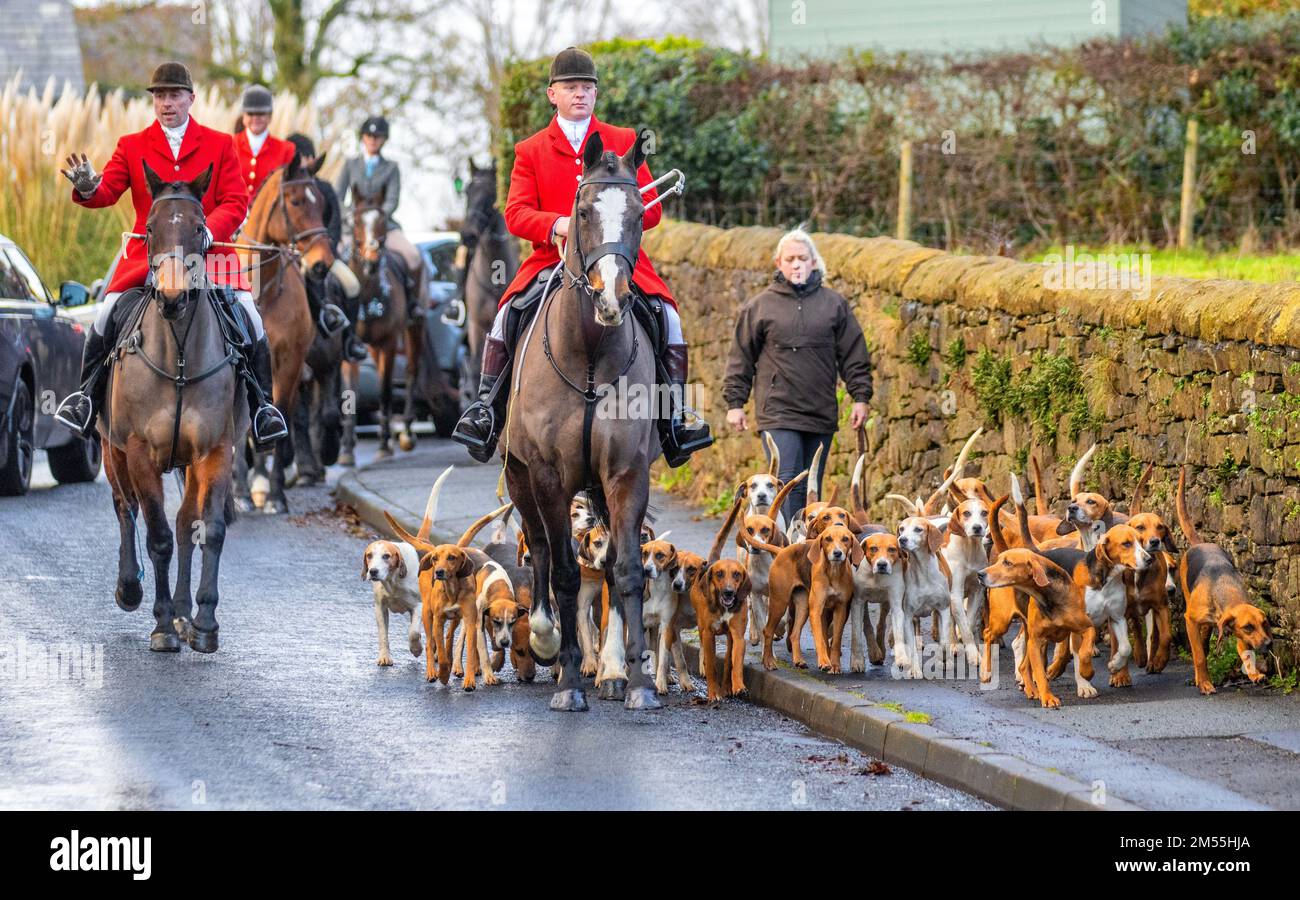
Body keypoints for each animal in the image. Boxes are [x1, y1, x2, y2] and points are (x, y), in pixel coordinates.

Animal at [101, 161, 245, 650]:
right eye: (149, 228)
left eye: (199, 228)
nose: (171, 296)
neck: (179, 353)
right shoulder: (140, 453)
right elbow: (158, 536)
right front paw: (163, 624)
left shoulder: (216, 451)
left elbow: (208, 530)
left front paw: (204, 621)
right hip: (111, 450)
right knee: (124, 508)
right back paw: (130, 588)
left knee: (185, 523)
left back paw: (185, 611)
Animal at [231, 150, 330, 509]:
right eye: (297, 201)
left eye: (323, 204)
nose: (322, 264)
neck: (262, 292)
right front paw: (242, 492)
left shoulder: (288, 363)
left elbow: (281, 414)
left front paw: (274, 492)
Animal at [340, 187, 421, 460]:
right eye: (355, 221)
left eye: (382, 220)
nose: (372, 260)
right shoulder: (349, 349)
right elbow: (351, 392)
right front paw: (347, 448)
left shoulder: (388, 343)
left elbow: (386, 390)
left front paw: (385, 443)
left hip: (413, 329)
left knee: (411, 372)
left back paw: (405, 431)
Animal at [499, 132, 660, 712]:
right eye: (584, 211)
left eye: (639, 212)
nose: (612, 299)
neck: (589, 352)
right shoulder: (548, 474)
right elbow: (566, 573)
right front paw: (568, 678)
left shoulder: (626, 471)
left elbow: (626, 571)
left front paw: (636, 682)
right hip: (519, 476)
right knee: (542, 547)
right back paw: (549, 638)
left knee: (606, 565)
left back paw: (610, 669)